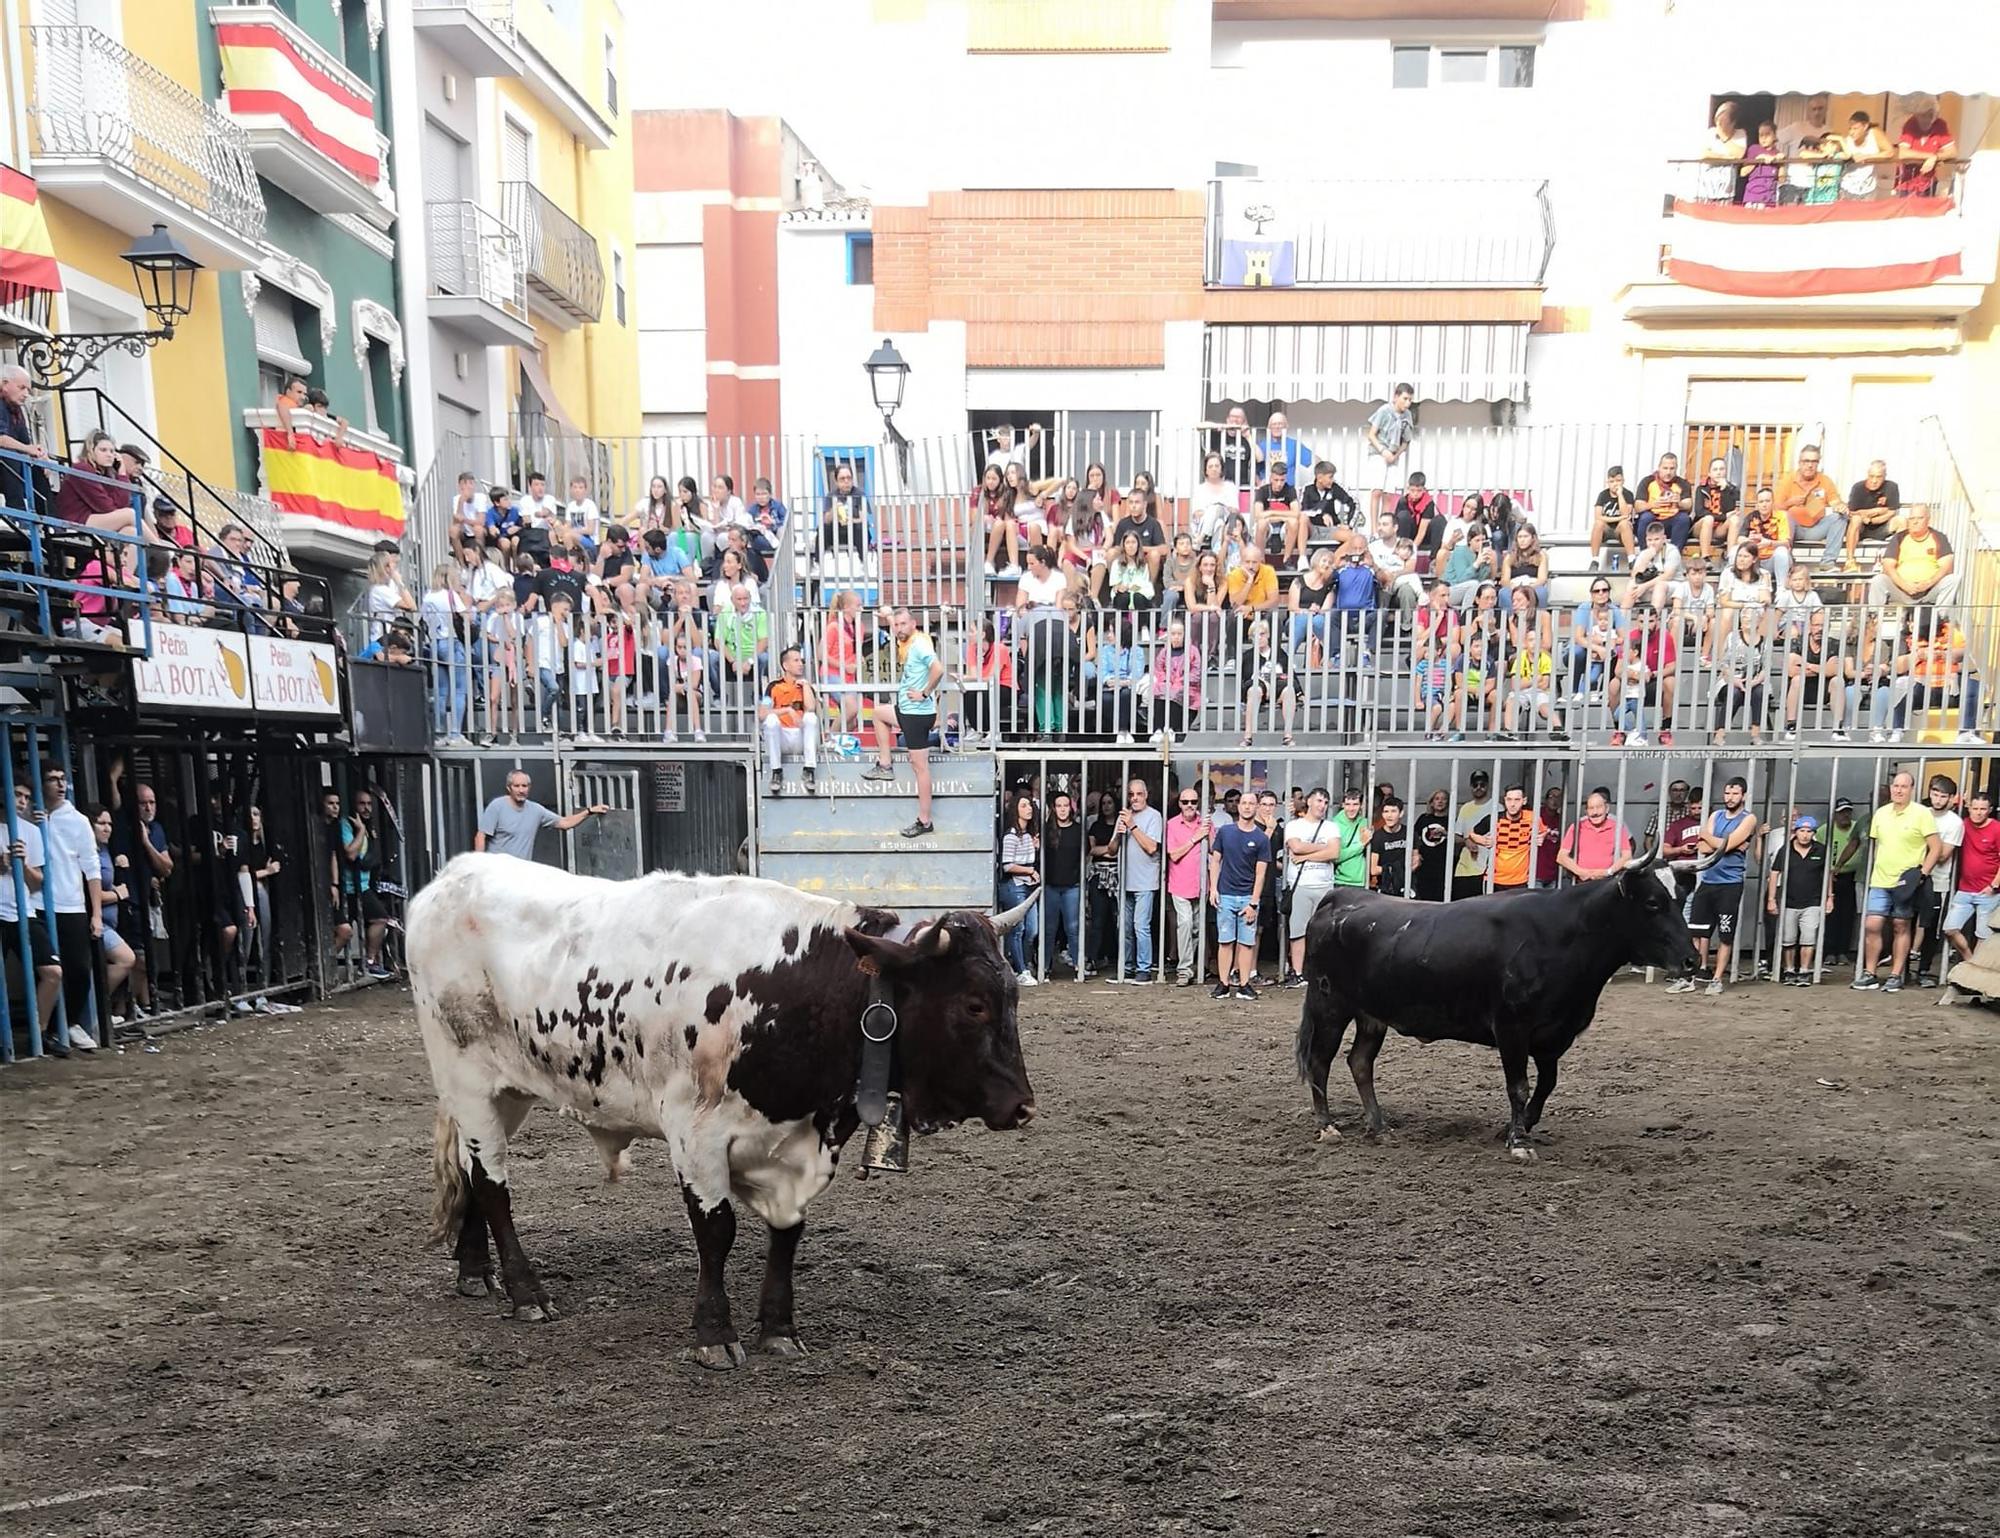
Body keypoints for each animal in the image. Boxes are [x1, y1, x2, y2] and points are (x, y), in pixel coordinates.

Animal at [404, 852, 1032, 1368]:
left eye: (1012, 997)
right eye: (974, 1005)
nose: (1023, 1106)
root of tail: (450, 877)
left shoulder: (795, 1145)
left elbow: (789, 1233)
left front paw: (778, 1328)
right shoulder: (695, 1131)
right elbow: (716, 1230)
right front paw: (715, 1333)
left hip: (504, 1094)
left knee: (469, 1171)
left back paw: (475, 1272)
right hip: (466, 1081)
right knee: (492, 1185)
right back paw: (526, 1292)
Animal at [1288, 848, 1696, 1160]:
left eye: (1681, 900)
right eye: (1653, 903)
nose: (1691, 960)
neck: (1564, 935)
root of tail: (1341, 898)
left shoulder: (1553, 1036)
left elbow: (1546, 1085)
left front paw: (1519, 1126)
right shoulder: (1511, 1027)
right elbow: (1519, 1086)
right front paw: (1519, 1142)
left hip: (1372, 1015)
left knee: (1360, 1062)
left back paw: (1379, 1125)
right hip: (1329, 1005)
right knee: (1320, 1061)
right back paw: (1327, 1126)